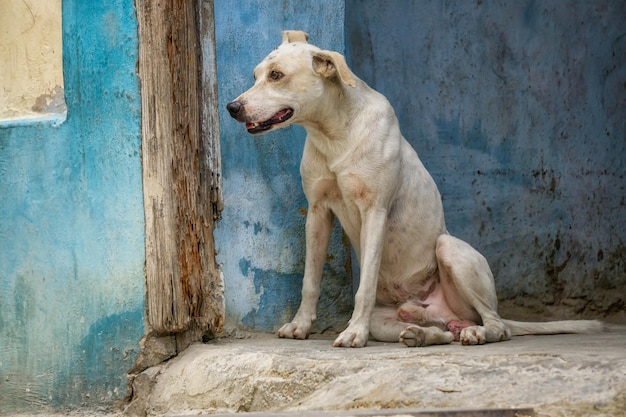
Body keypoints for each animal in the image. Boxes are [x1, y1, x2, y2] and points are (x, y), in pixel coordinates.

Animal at [225, 30, 600, 346]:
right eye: (256, 75)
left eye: (277, 75)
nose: (231, 107)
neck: (334, 133)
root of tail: (445, 314)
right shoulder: (317, 213)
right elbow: (310, 281)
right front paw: (300, 326)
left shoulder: (375, 212)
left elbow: (364, 286)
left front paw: (354, 333)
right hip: (391, 321)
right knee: (441, 333)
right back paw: (420, 331)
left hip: (451, 250)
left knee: (497, 324)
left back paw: (478, 332)